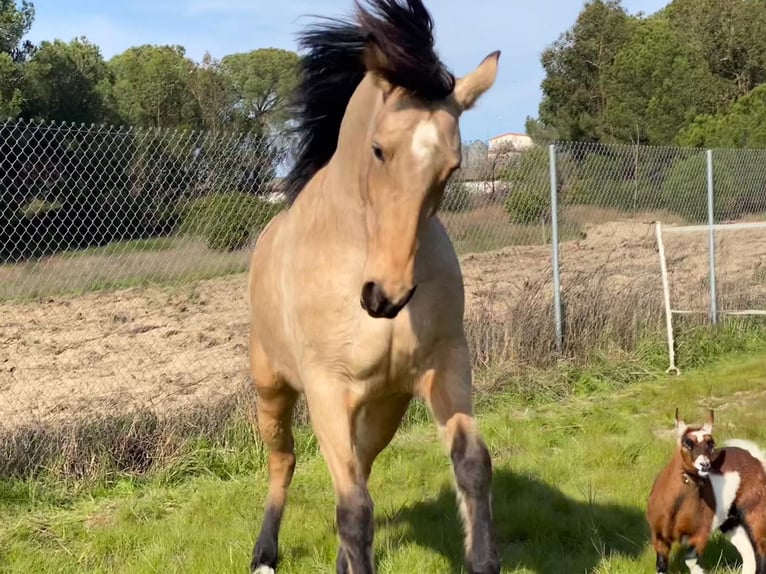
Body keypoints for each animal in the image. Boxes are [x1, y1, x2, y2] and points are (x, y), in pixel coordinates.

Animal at [246, 2, 504, 572]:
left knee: (361, 462)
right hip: (272, 387)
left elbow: (473, 465)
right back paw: (264, 553)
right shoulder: (325, 388)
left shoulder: (444, 366)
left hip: (385, 405)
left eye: (452, 166)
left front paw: (482, 560)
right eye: (379, 150)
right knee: (284, 460)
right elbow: (353, 510)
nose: (384, 295)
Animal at [648, 410, 766, 574]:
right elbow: (661, 566)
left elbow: (690, 560)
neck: (676, 508)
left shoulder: (701, 533)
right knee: (747, 552)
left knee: (760, 548)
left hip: (755, 511)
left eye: (711, 444)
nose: (705, 465)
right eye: (687, 443)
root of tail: (756, 459)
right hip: (730, 521)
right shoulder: (659, 536)